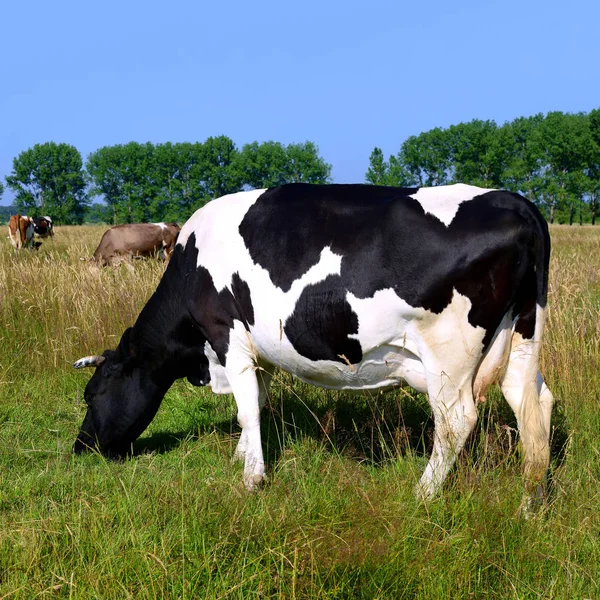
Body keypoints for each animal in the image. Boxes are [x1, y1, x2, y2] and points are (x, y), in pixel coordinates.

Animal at [72, 185, 556, 504]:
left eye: (92, 394)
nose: (80, 448)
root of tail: (515, 202)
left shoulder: (226, 332)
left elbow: (246, 407)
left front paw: (251, 478)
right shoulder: (257, 348)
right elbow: (257, 401)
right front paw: (242, 456)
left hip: (449, 355)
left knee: (456, 422)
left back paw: (423, 494)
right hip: (523, 338)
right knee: (534, 405)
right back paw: (530, 501)